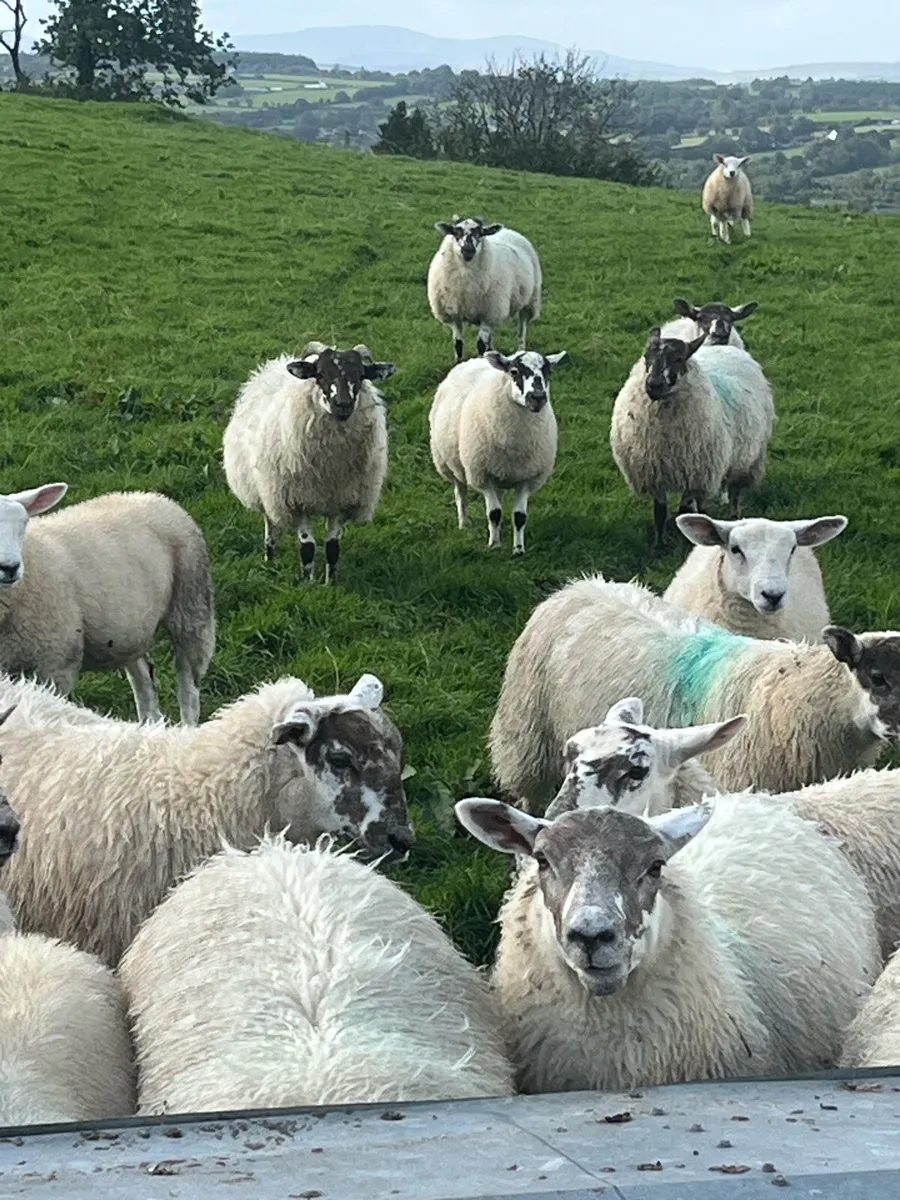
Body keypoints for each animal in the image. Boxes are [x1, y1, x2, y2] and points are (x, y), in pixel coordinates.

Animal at [0, 485, 215, 725]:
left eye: (23, 523)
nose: (10, 567)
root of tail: (149, 496)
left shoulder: (58, 663)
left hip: (191, 601)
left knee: (188, 687)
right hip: (129, 629)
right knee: (143, 678)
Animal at [223, 343, 395, 584]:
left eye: (361, 375)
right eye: (320, 374)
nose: (343, 404)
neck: (331, 466)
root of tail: (277, 363)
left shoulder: (342, 500)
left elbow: (333, 547)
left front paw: (330, 583)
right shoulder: (297, 500)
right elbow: (308, 547)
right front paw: (308, 583)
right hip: (266, 489)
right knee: (270, 523)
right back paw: (270, 557)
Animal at [427, 216, 542, 363]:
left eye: (480, 233)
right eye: (456, 232)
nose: (468, 249)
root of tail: (507, 230)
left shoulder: (488, 314)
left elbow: (481, 344)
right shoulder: (455, 314)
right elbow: (458, 343)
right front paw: (458, 363)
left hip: (529, 301)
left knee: (522, 328)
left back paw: (521, 350)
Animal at [429, 349, 566, 555]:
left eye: (548, 372)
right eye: (514, 371)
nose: (538, 397)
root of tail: (474, 359)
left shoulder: (527, 479)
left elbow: (519, 516)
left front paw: (518, 549)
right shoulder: (483, 475)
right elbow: (493, 513)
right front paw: (494, 545)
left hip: (500, 472)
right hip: (449, 464)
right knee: (461, 494)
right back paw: (463, 524)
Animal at [610, 329, 775, 546]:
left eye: (679, 359)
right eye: (647, 356)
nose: (654, 385)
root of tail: (725, 348)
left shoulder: (694, 473)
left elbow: (684, 510)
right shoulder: (655, 472)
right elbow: (659, 512)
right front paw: (659, 545)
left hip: (746, 460)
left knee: (735, 492)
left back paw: (735, 516)